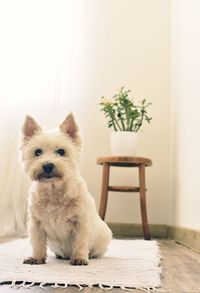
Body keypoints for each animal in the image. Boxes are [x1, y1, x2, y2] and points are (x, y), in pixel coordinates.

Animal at [20, 113, 112, 264]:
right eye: (37, 152)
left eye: (61, 151)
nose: (47, 165)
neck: (54, 191)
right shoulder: (36, 223)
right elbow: (38, 242)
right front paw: (36, 258)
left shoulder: (81, 222)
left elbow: (80, 242)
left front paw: (79, 258)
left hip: (104, 236)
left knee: (97, 250)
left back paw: (90, 255)